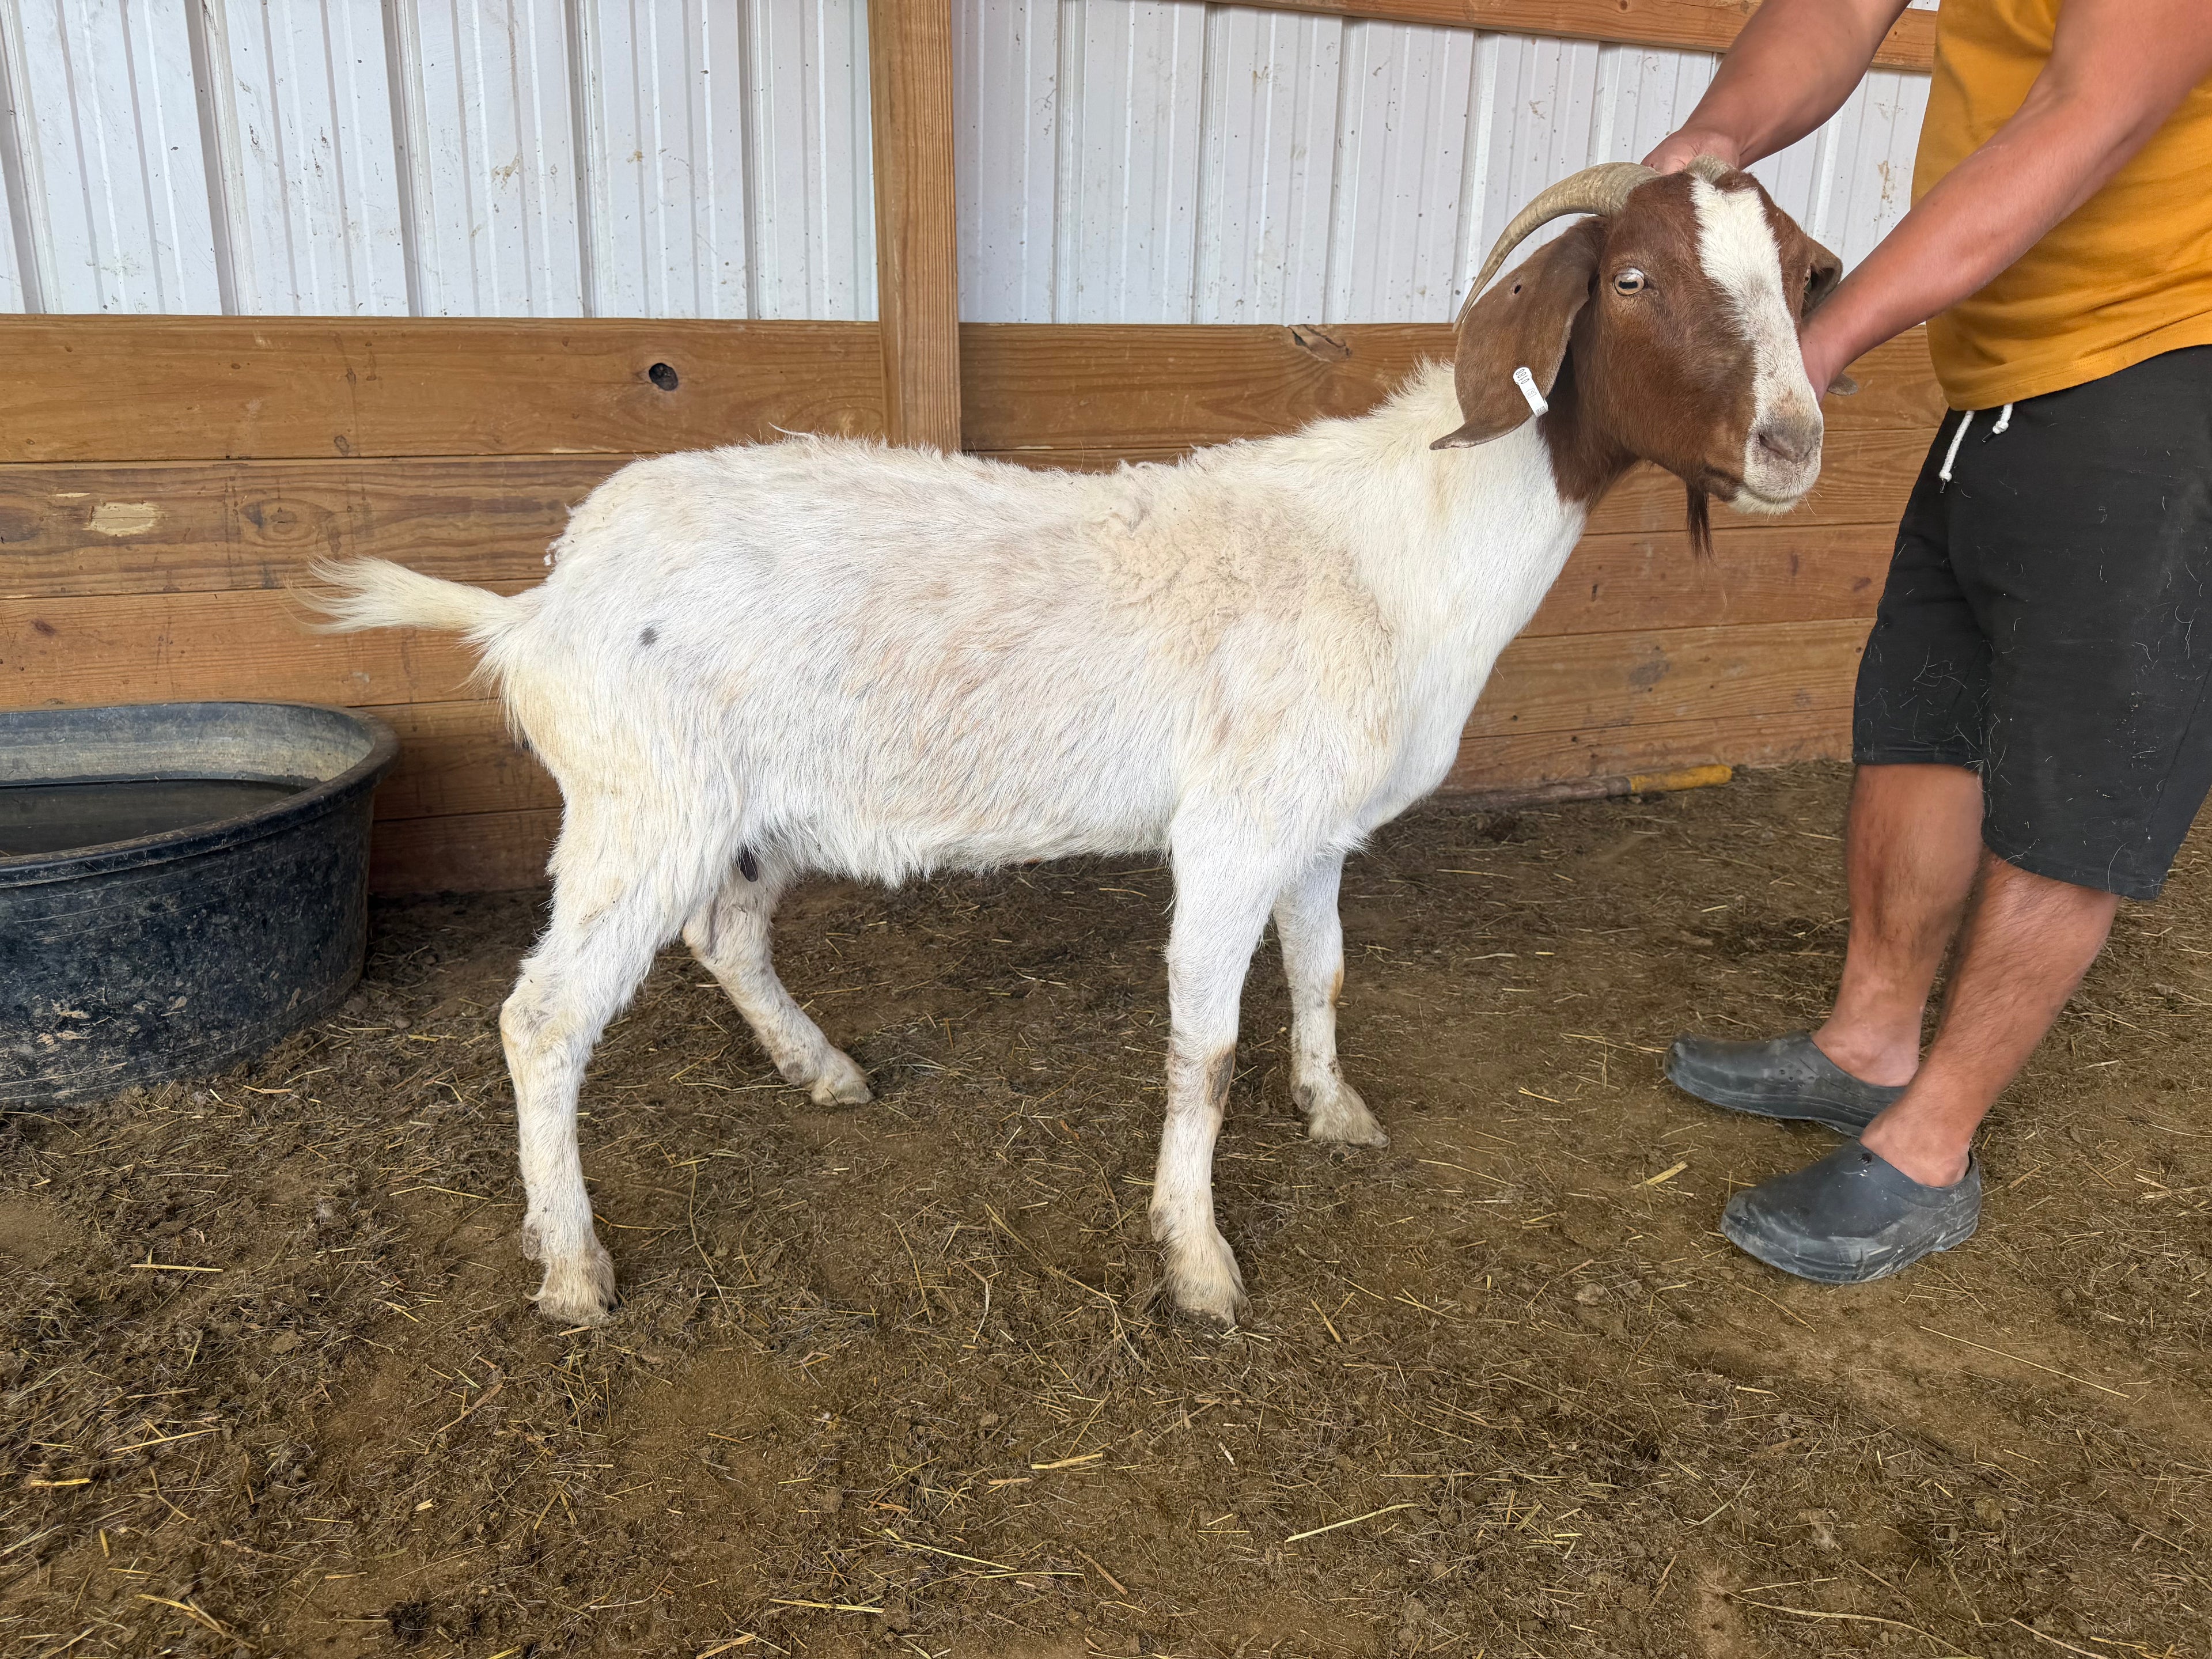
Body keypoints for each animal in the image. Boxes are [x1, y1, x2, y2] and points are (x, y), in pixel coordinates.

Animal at [312, 159, 1841, 1327]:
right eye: (1633, 281)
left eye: (1800, 275)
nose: (1791, 444)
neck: (1403, 549)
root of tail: (543, 602)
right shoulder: (1230, 832)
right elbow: (1203, 1049)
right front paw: (1199, 1261)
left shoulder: (1315, 826)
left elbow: (1326, 976)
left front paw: (1334, 1110)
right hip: (643, 805)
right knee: (544, 1015)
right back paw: (574, 1265)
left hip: (749, 811)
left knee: (724, 935)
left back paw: (822, 1071)